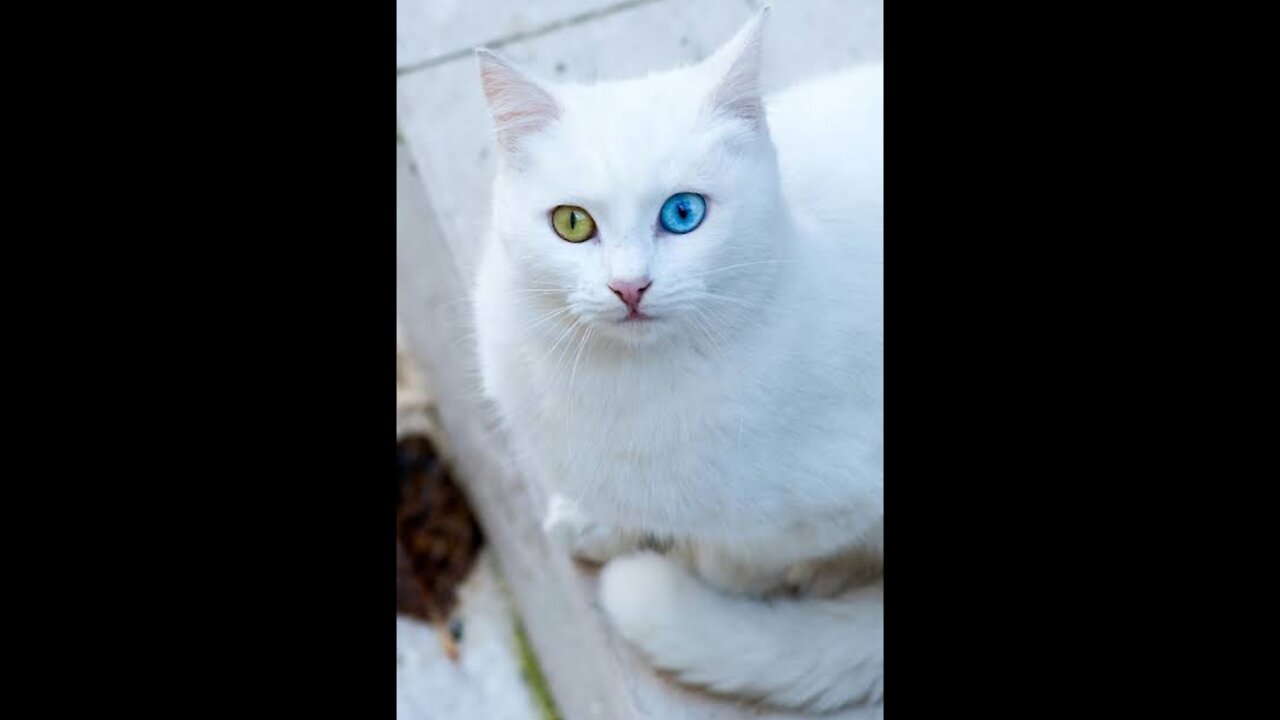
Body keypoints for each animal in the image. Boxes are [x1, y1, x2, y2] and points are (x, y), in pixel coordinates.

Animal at [476, 7, 885, 712]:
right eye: (572, 223)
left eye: (684, 212)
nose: (629, 286)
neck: (621, 385)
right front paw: (597, 523)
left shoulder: (844, 494)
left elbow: (741, 553)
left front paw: (708, 577)